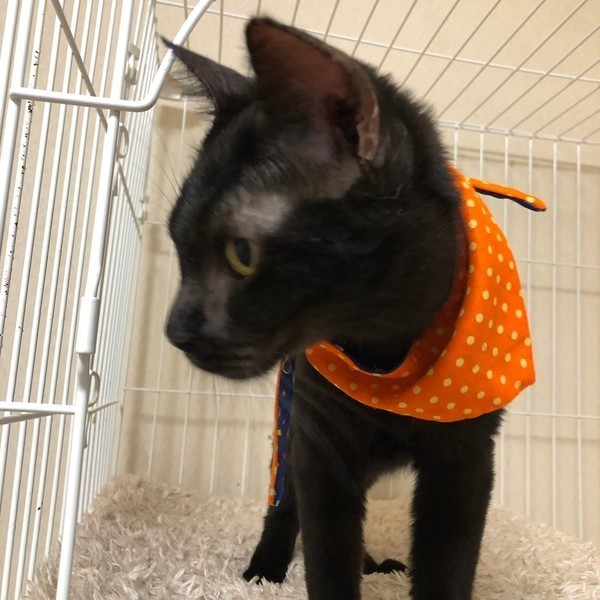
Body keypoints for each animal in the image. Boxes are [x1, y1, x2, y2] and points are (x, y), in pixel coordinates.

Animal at [164, 17, 517, 600]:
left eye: (242, 255)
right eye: (177, 243)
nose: (175, 331)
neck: (385, 345)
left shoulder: (466, 457)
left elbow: (449, 561)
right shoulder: (320, 443)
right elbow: (327, 550)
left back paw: (375, 565)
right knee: (287, 508)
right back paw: (265, 570)